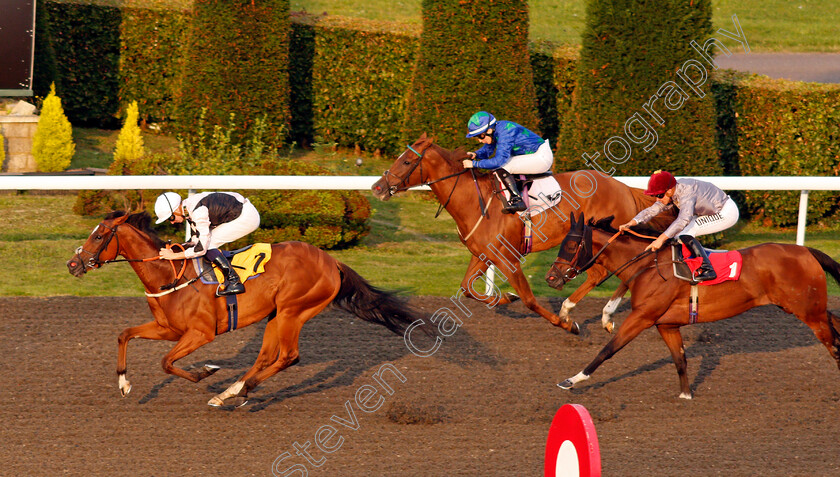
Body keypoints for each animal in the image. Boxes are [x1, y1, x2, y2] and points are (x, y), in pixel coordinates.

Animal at [65, 211, 426, 406]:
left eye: (98, 236)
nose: (72, 264)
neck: (168, 275)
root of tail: (331, 261)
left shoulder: (201, 333)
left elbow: (167, 363)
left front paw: (205, 372)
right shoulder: (169, 329)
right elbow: (125, 335)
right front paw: (123, 384)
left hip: (293, 311)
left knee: (289, 356)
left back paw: (238, 391)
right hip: (276, 315)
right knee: (267, 357)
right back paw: (231, 392)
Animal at [370, 134, 672, 332]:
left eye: (407, 161)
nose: (377, 187)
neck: (474, 201)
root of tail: (624, 188)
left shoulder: (508, 257)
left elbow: (528, 299)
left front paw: (563, 324)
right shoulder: (483, 254)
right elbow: (467, 287)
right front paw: (504, 298)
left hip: (613, 238)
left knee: (626, 271)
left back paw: (600, 317)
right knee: (599, 274)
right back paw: (571, 308)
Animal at [544, 213, 840, 398]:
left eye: (570, 245)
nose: (551, 278)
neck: (647, 264)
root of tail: (806, 251)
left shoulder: (642, 318)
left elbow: (607, 350)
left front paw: (573, 380)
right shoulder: (666, 324)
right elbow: (680, 359)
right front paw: (686, 394)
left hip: (809, 312)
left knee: (834, 346)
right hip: (809, 308)